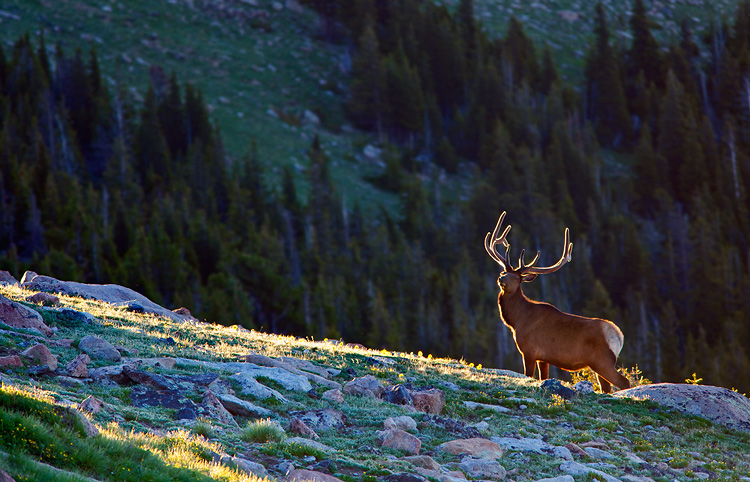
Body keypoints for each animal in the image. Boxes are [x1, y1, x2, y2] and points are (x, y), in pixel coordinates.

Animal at [484, 213, 632, 394]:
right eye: (503, 272)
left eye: (517, 278)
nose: (502, 279)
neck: (516, 321)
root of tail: (619, 336)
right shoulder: (543, 358)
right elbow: (543, 377)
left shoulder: (529, 350)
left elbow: (529, 375)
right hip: (599, 365)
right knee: (607, 387)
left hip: (602, 361)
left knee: (624, 382)